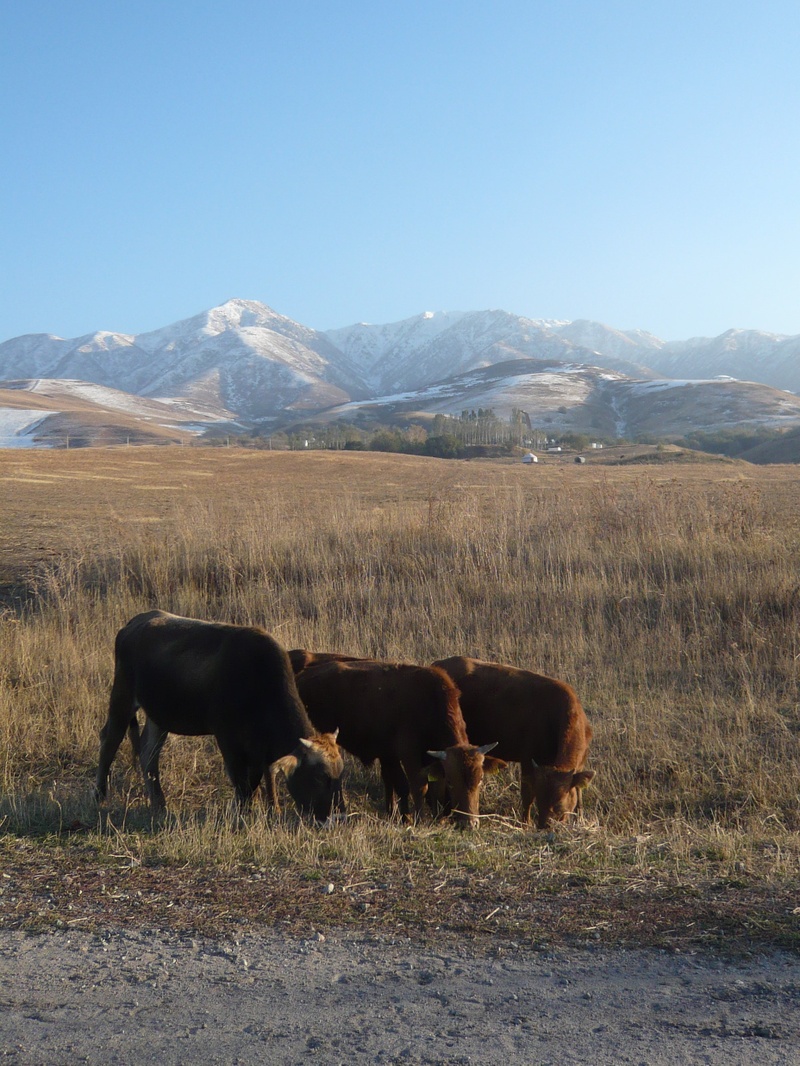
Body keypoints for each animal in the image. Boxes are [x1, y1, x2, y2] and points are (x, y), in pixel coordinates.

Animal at [94, 611, 345, 823]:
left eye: (339, 775)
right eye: (319, 777)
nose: (337, 816)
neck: (258, 680)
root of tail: (136, 622)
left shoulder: (261, 749)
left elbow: (263, 775)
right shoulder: (227, 738)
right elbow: (243, 781)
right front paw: (243, 812)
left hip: (159, 717)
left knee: (148, 754)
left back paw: (159, 804)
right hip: (123, 698)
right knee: (109, 741)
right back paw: (100, 796)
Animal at [295, 658, 501, 828]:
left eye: (480, 779)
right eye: (452, 781)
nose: (470, 823)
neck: (430, 701)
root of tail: (301, 676)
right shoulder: (409, 755)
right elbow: (417, 786)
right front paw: (415, 817)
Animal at [432, 657, 595, 829]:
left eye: (558, 803)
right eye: (541, 801)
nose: (544, 826)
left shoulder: (579, 765)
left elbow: (579, 794)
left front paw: (580, 819)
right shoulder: (528, 760)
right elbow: (527, 795)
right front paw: (525, 823)